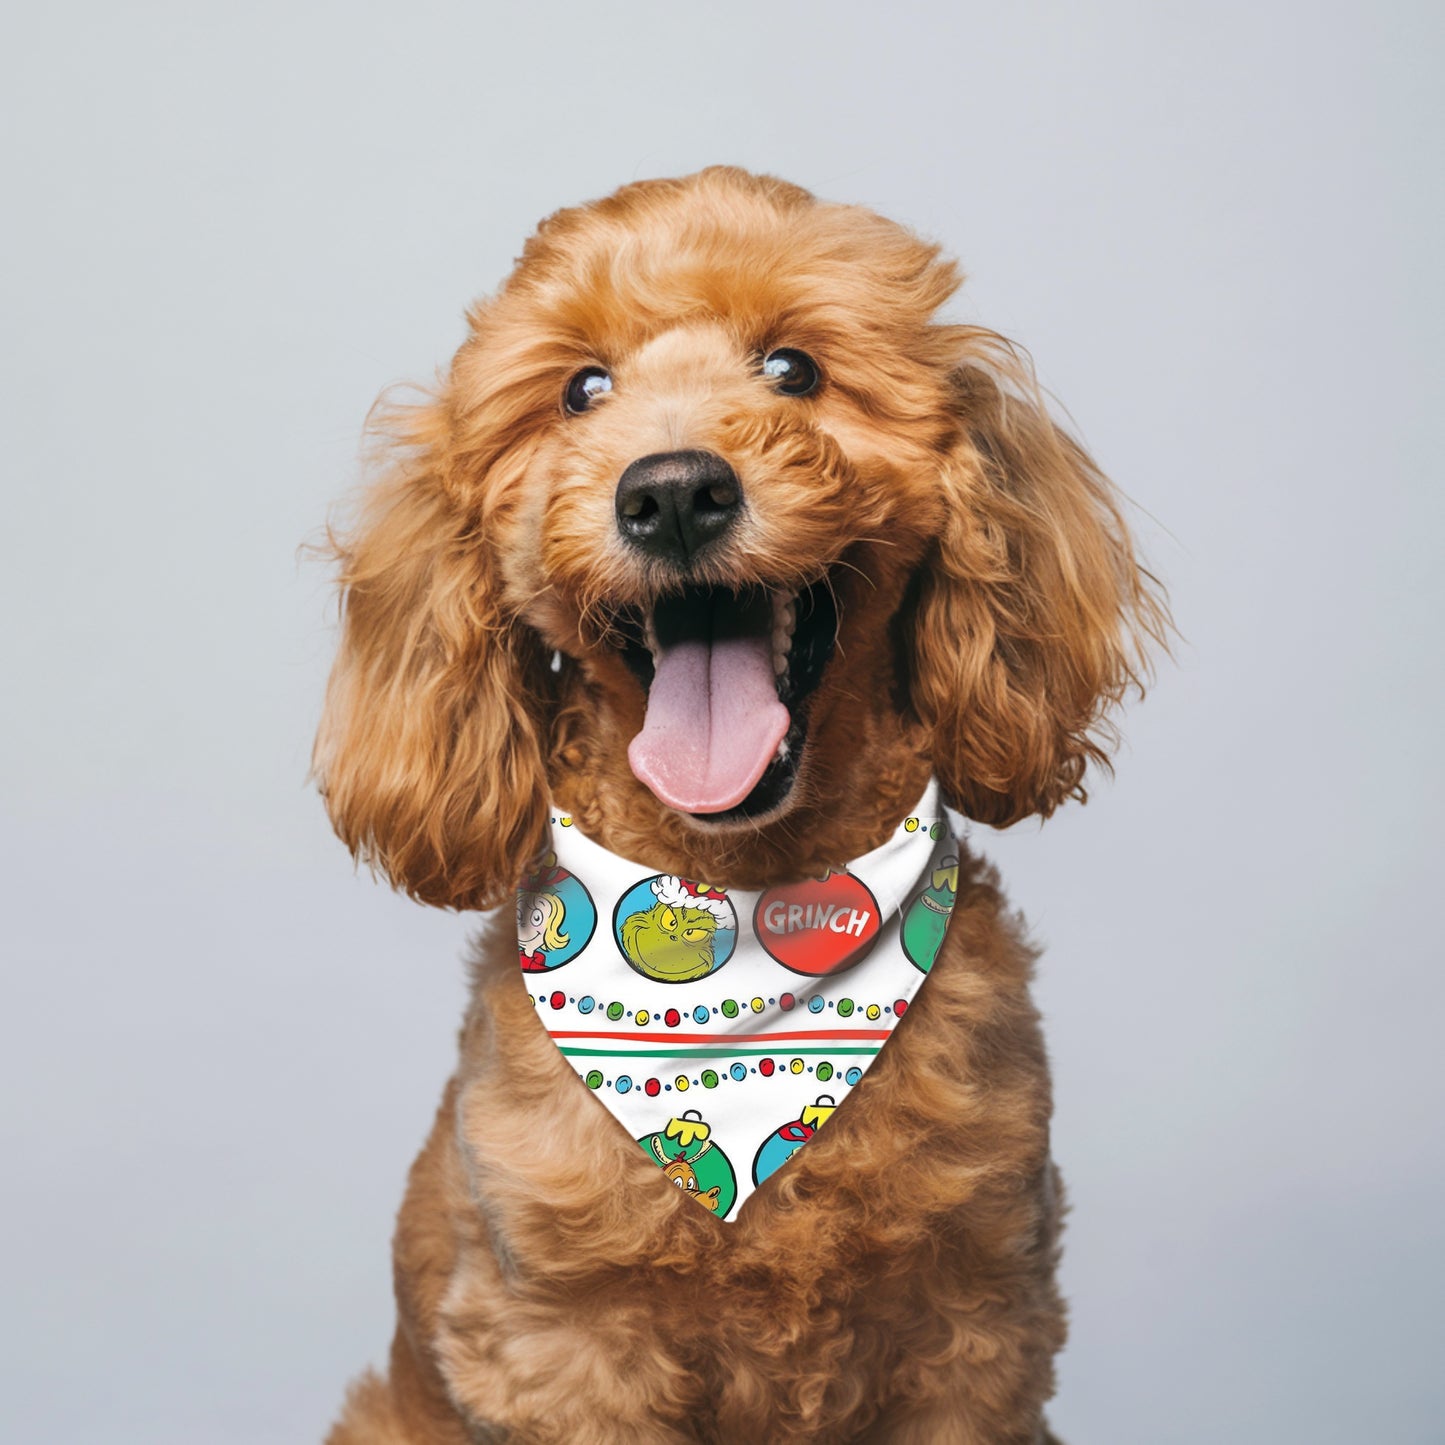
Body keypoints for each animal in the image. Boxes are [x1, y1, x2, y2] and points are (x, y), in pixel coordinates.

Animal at [313, 164, 1161, 1439]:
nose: (671, 492)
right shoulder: (563, 1347)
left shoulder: (976, 1329)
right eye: (581, 390)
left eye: (792, 368)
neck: (752, 908)